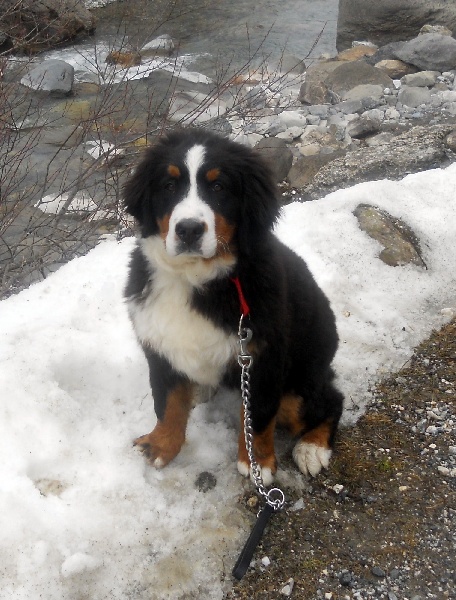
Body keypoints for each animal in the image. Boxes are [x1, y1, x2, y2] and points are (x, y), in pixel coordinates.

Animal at [124, 128, 343, 485]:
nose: (188, 230)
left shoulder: (263, 356)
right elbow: (167, 403)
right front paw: (162, 445)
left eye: (219, 187)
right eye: (168, 185)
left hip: (299, 384)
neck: (194, 278)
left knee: (329, 400)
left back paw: (312, 448)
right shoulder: (159, 342)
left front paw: (258, 464)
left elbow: (258, 415)